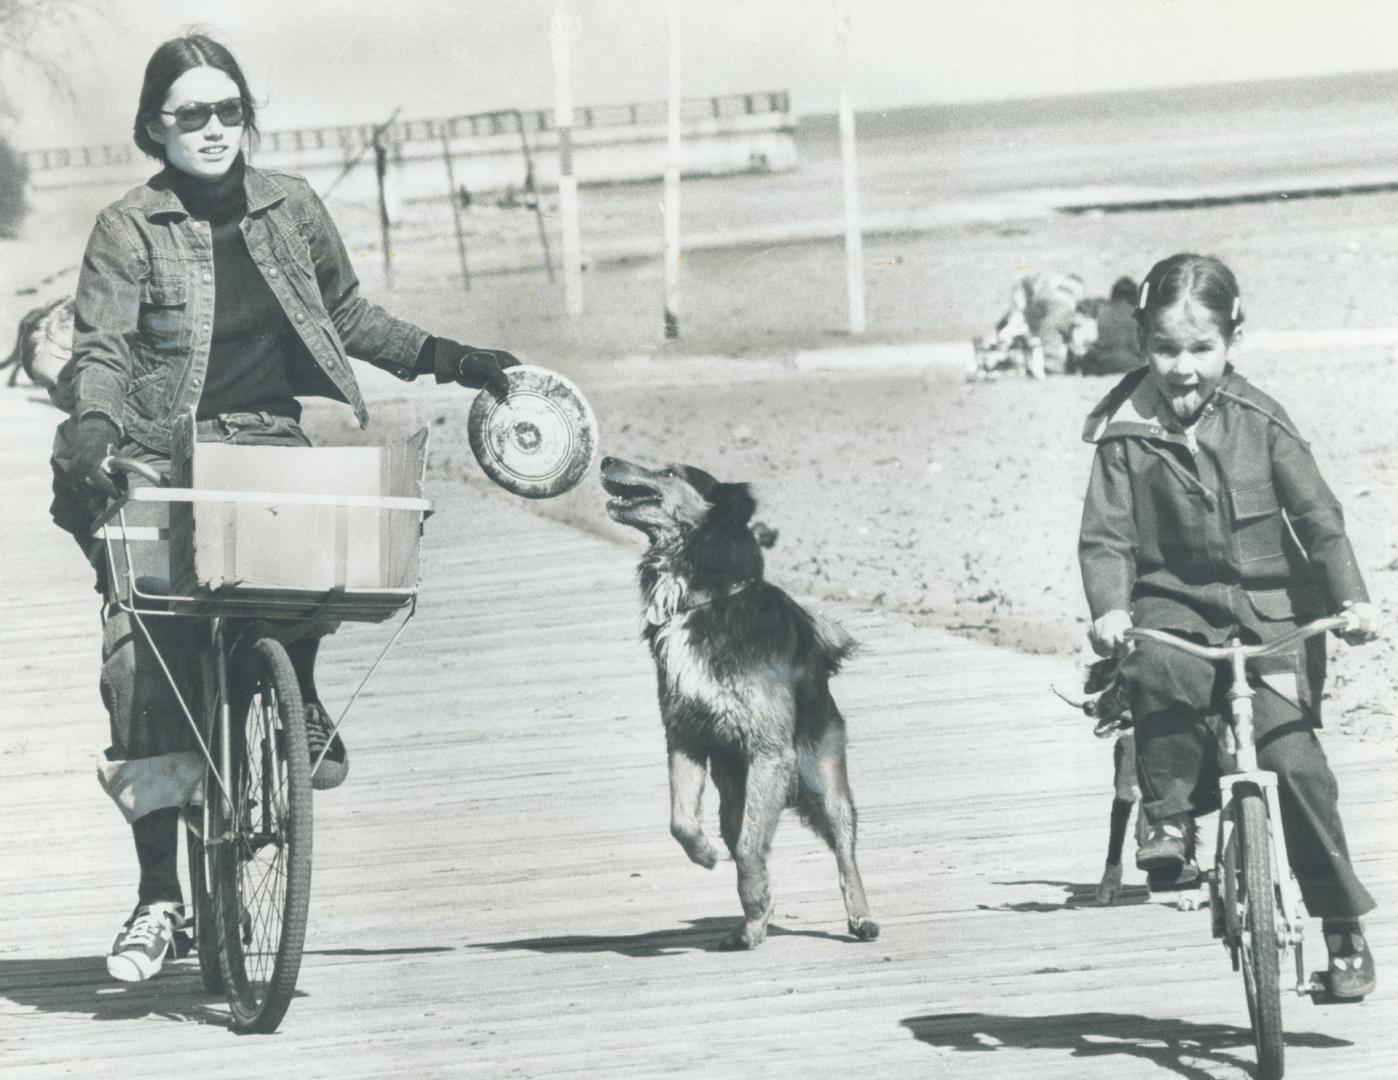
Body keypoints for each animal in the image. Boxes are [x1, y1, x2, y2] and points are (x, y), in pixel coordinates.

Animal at [598, 458, 877, 950]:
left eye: (669, 471)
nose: (606, 459)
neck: (699, 601)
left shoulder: (769, 751)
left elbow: (750, 849)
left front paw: (755, 898)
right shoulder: (685, 735)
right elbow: (682, 821)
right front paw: (707, 857)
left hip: (824, 780)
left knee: (843, 850)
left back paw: (859, 918)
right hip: (735, 793)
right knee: (744, 836)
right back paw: (751, 922)